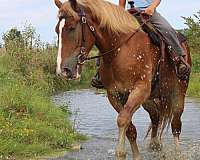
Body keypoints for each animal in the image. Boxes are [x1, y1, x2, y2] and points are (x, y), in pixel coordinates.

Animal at [54, 0, 191, 159]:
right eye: (57, 30)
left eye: (71, 28)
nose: (63, 71)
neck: (121, 49)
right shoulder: (114, 94)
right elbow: (129, 127)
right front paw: (136, 155)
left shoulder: (140, 89)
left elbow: (122, 119)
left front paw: (120, 152)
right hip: (149, 98)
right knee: (155, 116)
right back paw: (155, 144)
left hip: (178, 92)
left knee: (176, 123)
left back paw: (178, 152)